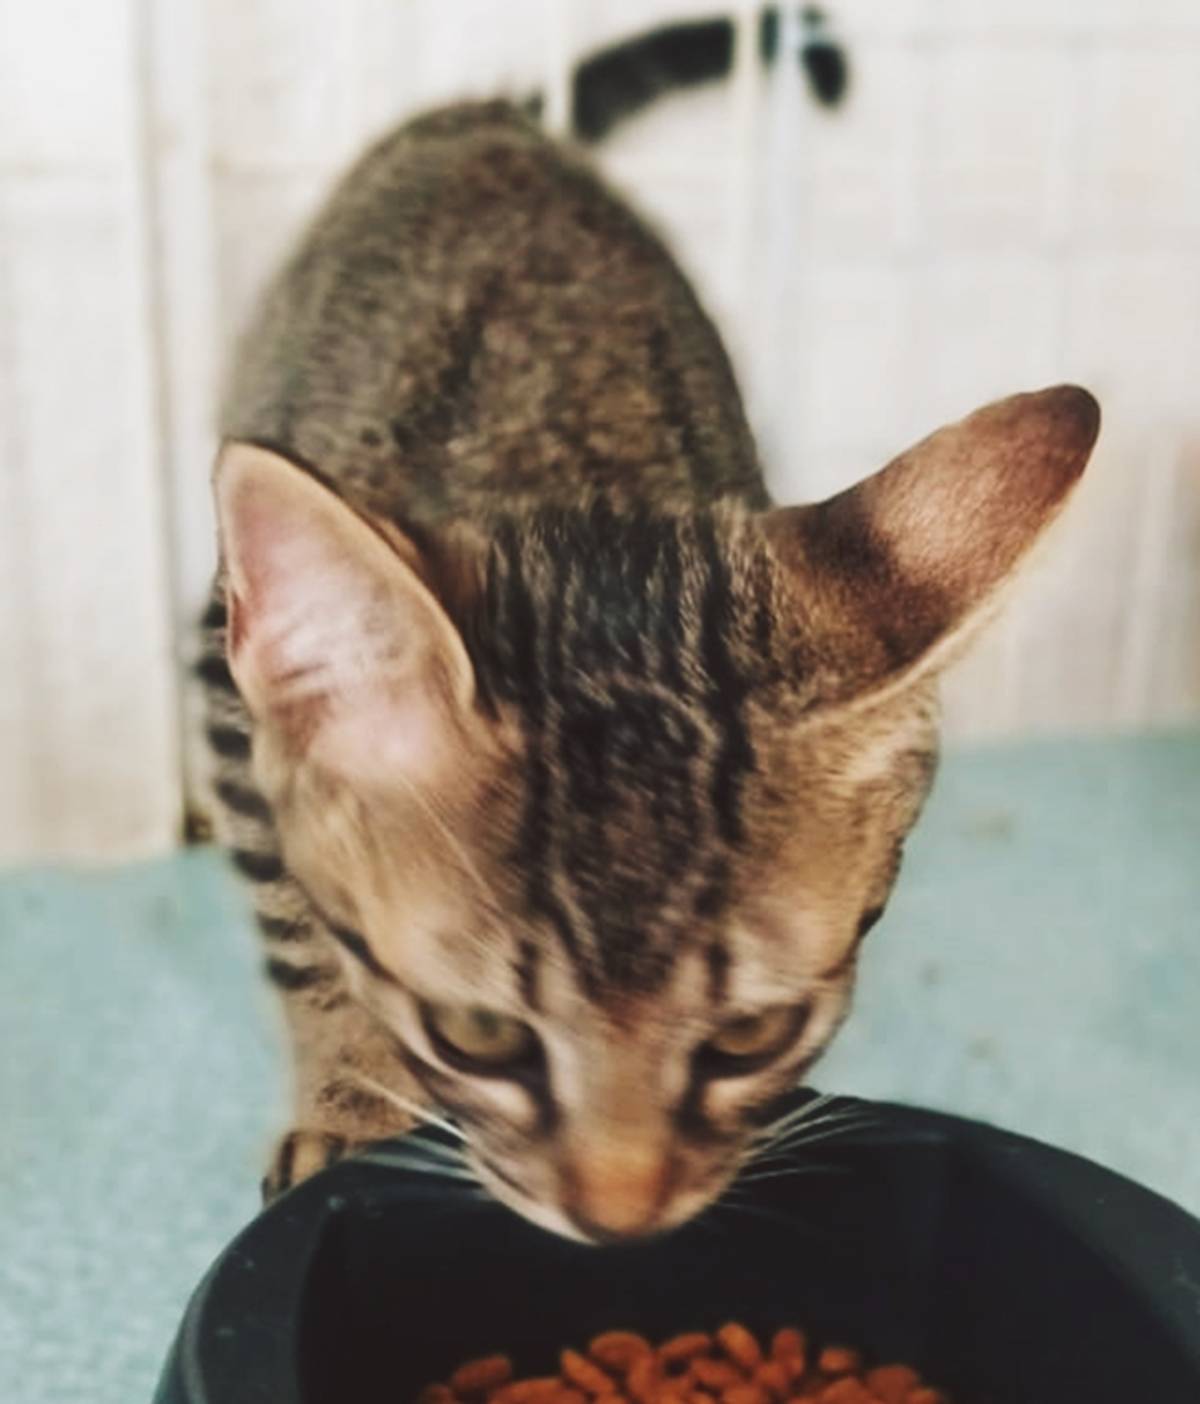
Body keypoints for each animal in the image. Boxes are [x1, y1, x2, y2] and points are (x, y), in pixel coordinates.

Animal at [199, 98, 1099, 1243]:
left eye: (754, 1033)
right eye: (474, 1033)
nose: (620, 1220)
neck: (570, 465)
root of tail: (491, 116)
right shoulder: (229, 709)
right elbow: (301, 932)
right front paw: (350, 1102)